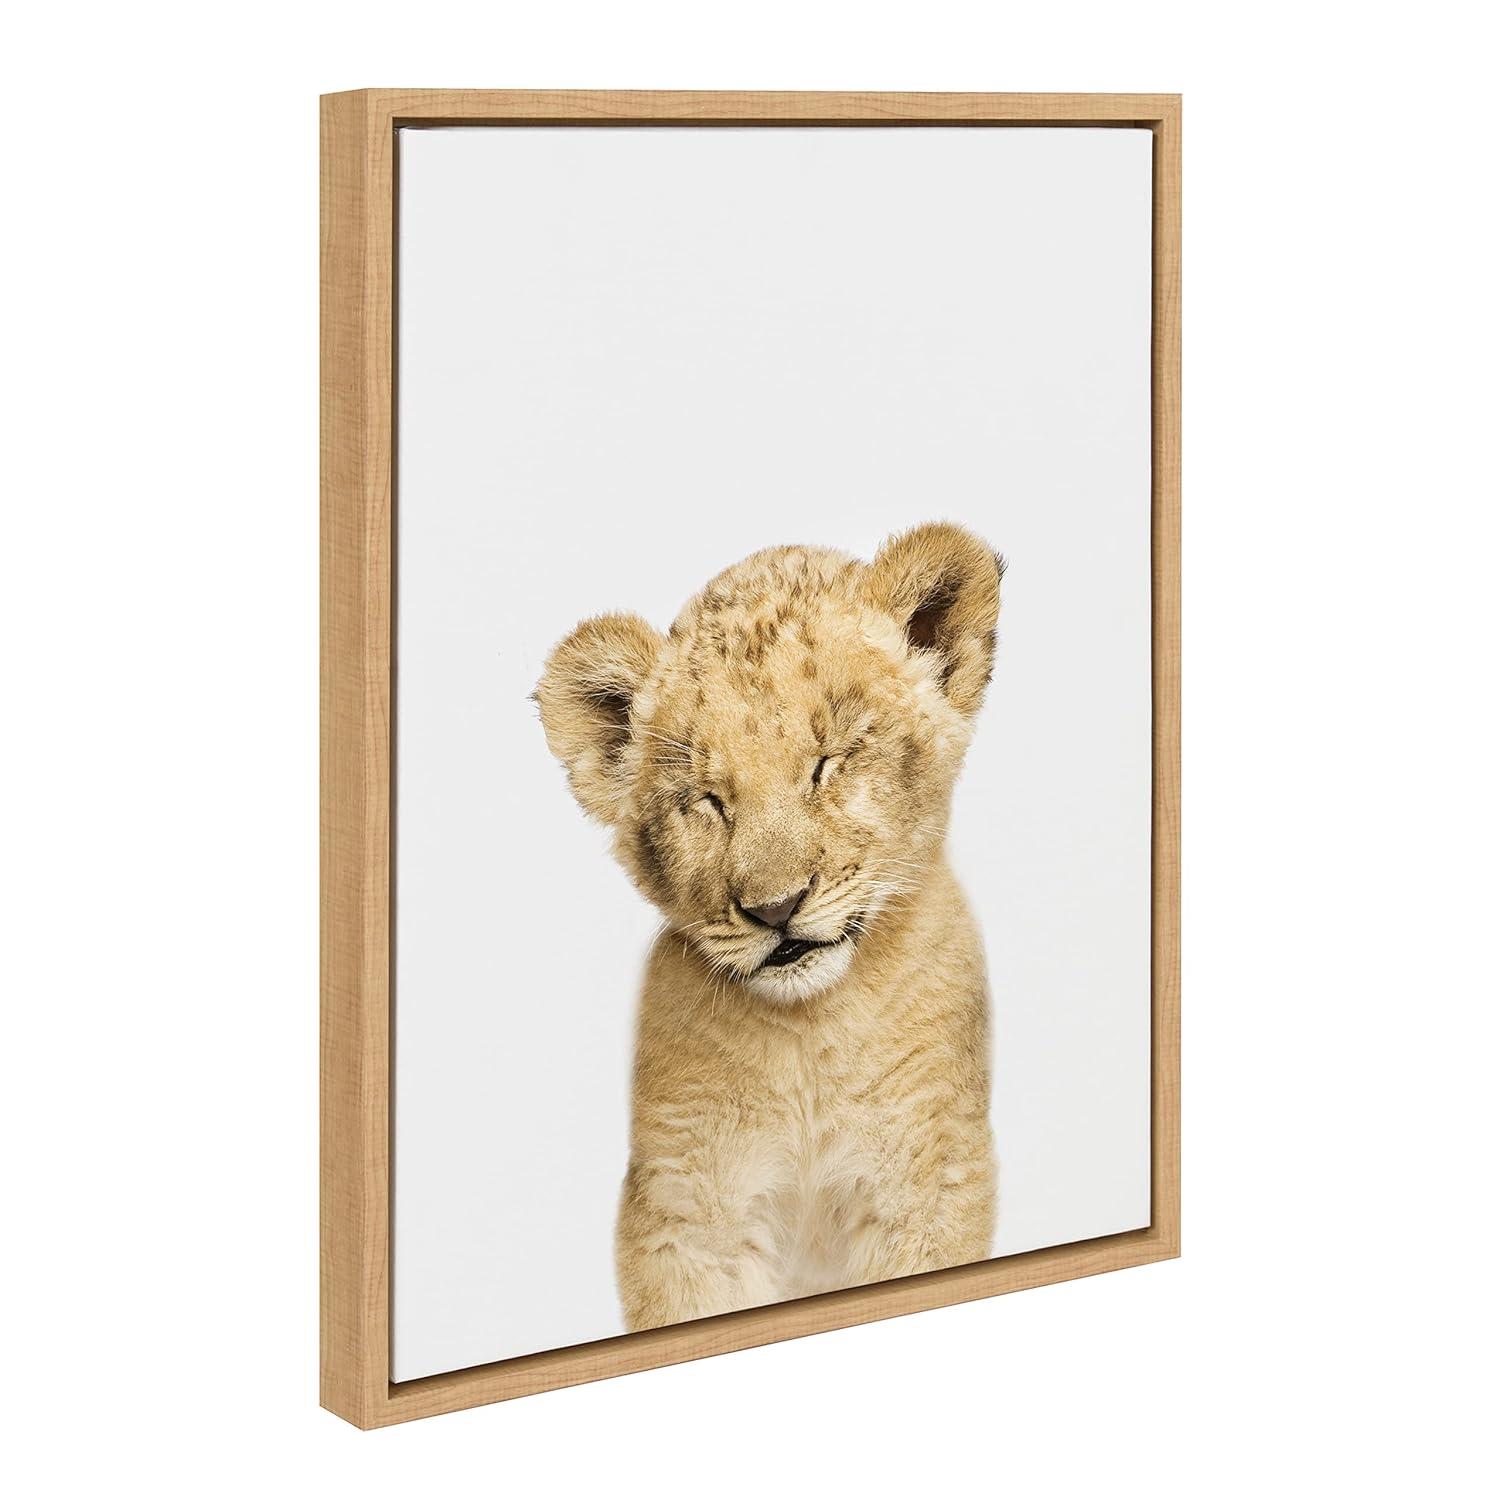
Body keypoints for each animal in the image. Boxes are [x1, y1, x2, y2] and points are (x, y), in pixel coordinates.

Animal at [535, 522, 1002, 1331]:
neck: (808, 1033)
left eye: (828, 763)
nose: (776, 908)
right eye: (708, 800)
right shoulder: (686, 1210)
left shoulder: (930, 1178)